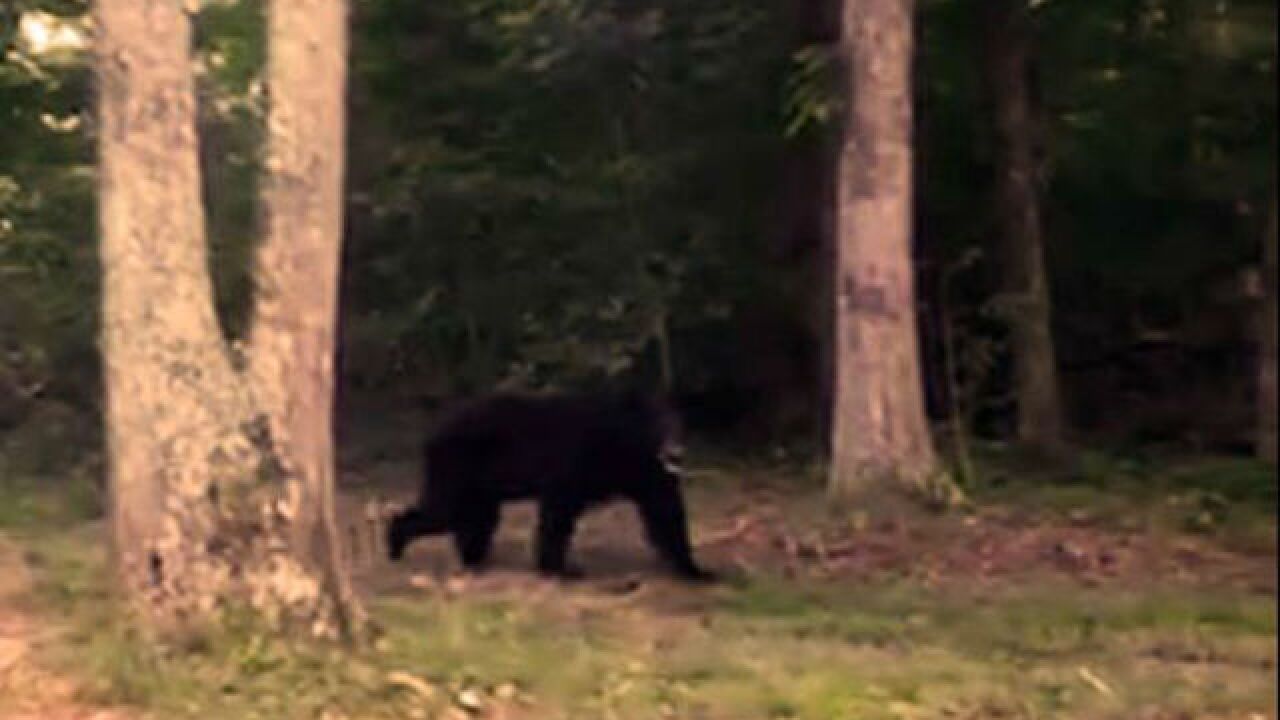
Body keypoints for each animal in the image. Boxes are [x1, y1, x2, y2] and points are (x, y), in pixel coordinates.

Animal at [386, 390, 715, 582]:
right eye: (658, 423)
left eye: (680, 423)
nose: (675, 451)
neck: (623, 443)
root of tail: (432, 433)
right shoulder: (575, 460)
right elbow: (558, 511)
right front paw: (561, 569)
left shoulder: (646, 472)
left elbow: (665, 511)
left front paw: (697, 570)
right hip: (458, 467)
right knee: (442, 510)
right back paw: (396, 544)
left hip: (480, 484)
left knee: (475, 518)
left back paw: (474, 558)